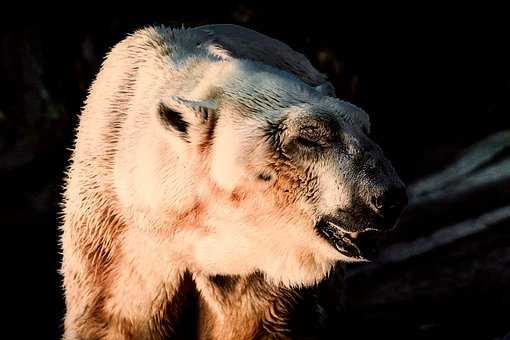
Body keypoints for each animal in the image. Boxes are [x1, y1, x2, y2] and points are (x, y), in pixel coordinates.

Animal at [60, 22, 406, 338]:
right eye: (308, 137)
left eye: (366, 127)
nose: (388, 197)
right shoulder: (116, 243)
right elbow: (113, 319)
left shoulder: (258, 258)